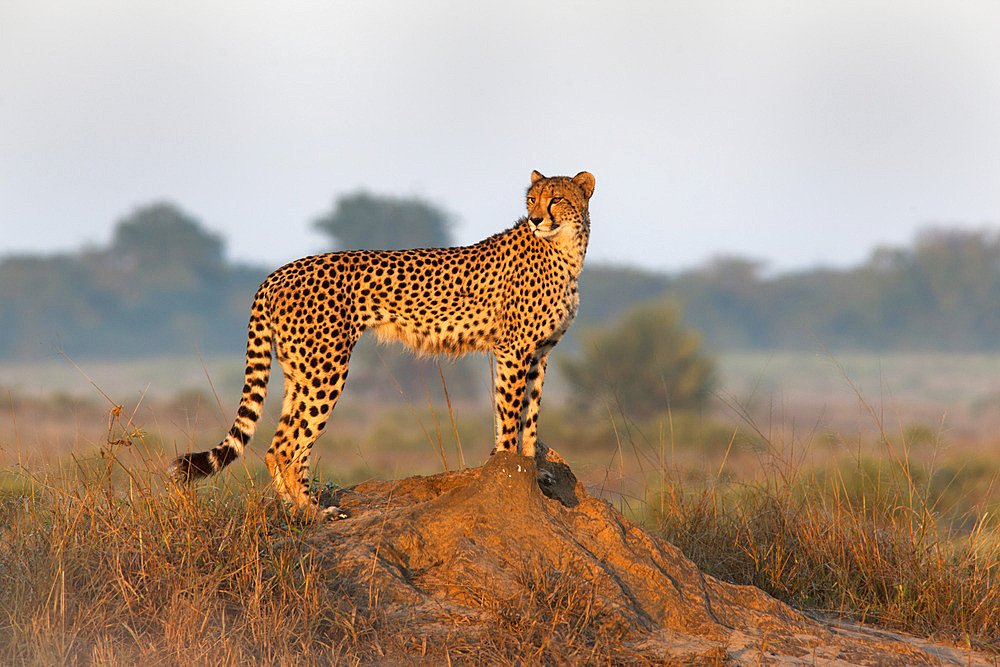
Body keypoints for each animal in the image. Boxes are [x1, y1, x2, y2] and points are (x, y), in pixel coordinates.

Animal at [171, 170, 592, 520]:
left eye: (556, 199)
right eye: (532, 199)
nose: (536, 219)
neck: (565, 250)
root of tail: (279, 272)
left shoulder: (539, 353)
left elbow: (530, 417)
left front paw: (533, 472)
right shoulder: (513, 350)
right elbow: (509, 415)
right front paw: (505, 471)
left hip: (300, 371)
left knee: (280, 444)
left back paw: (293, 508)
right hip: (325, 369)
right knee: (289, 447)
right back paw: (313, 513)